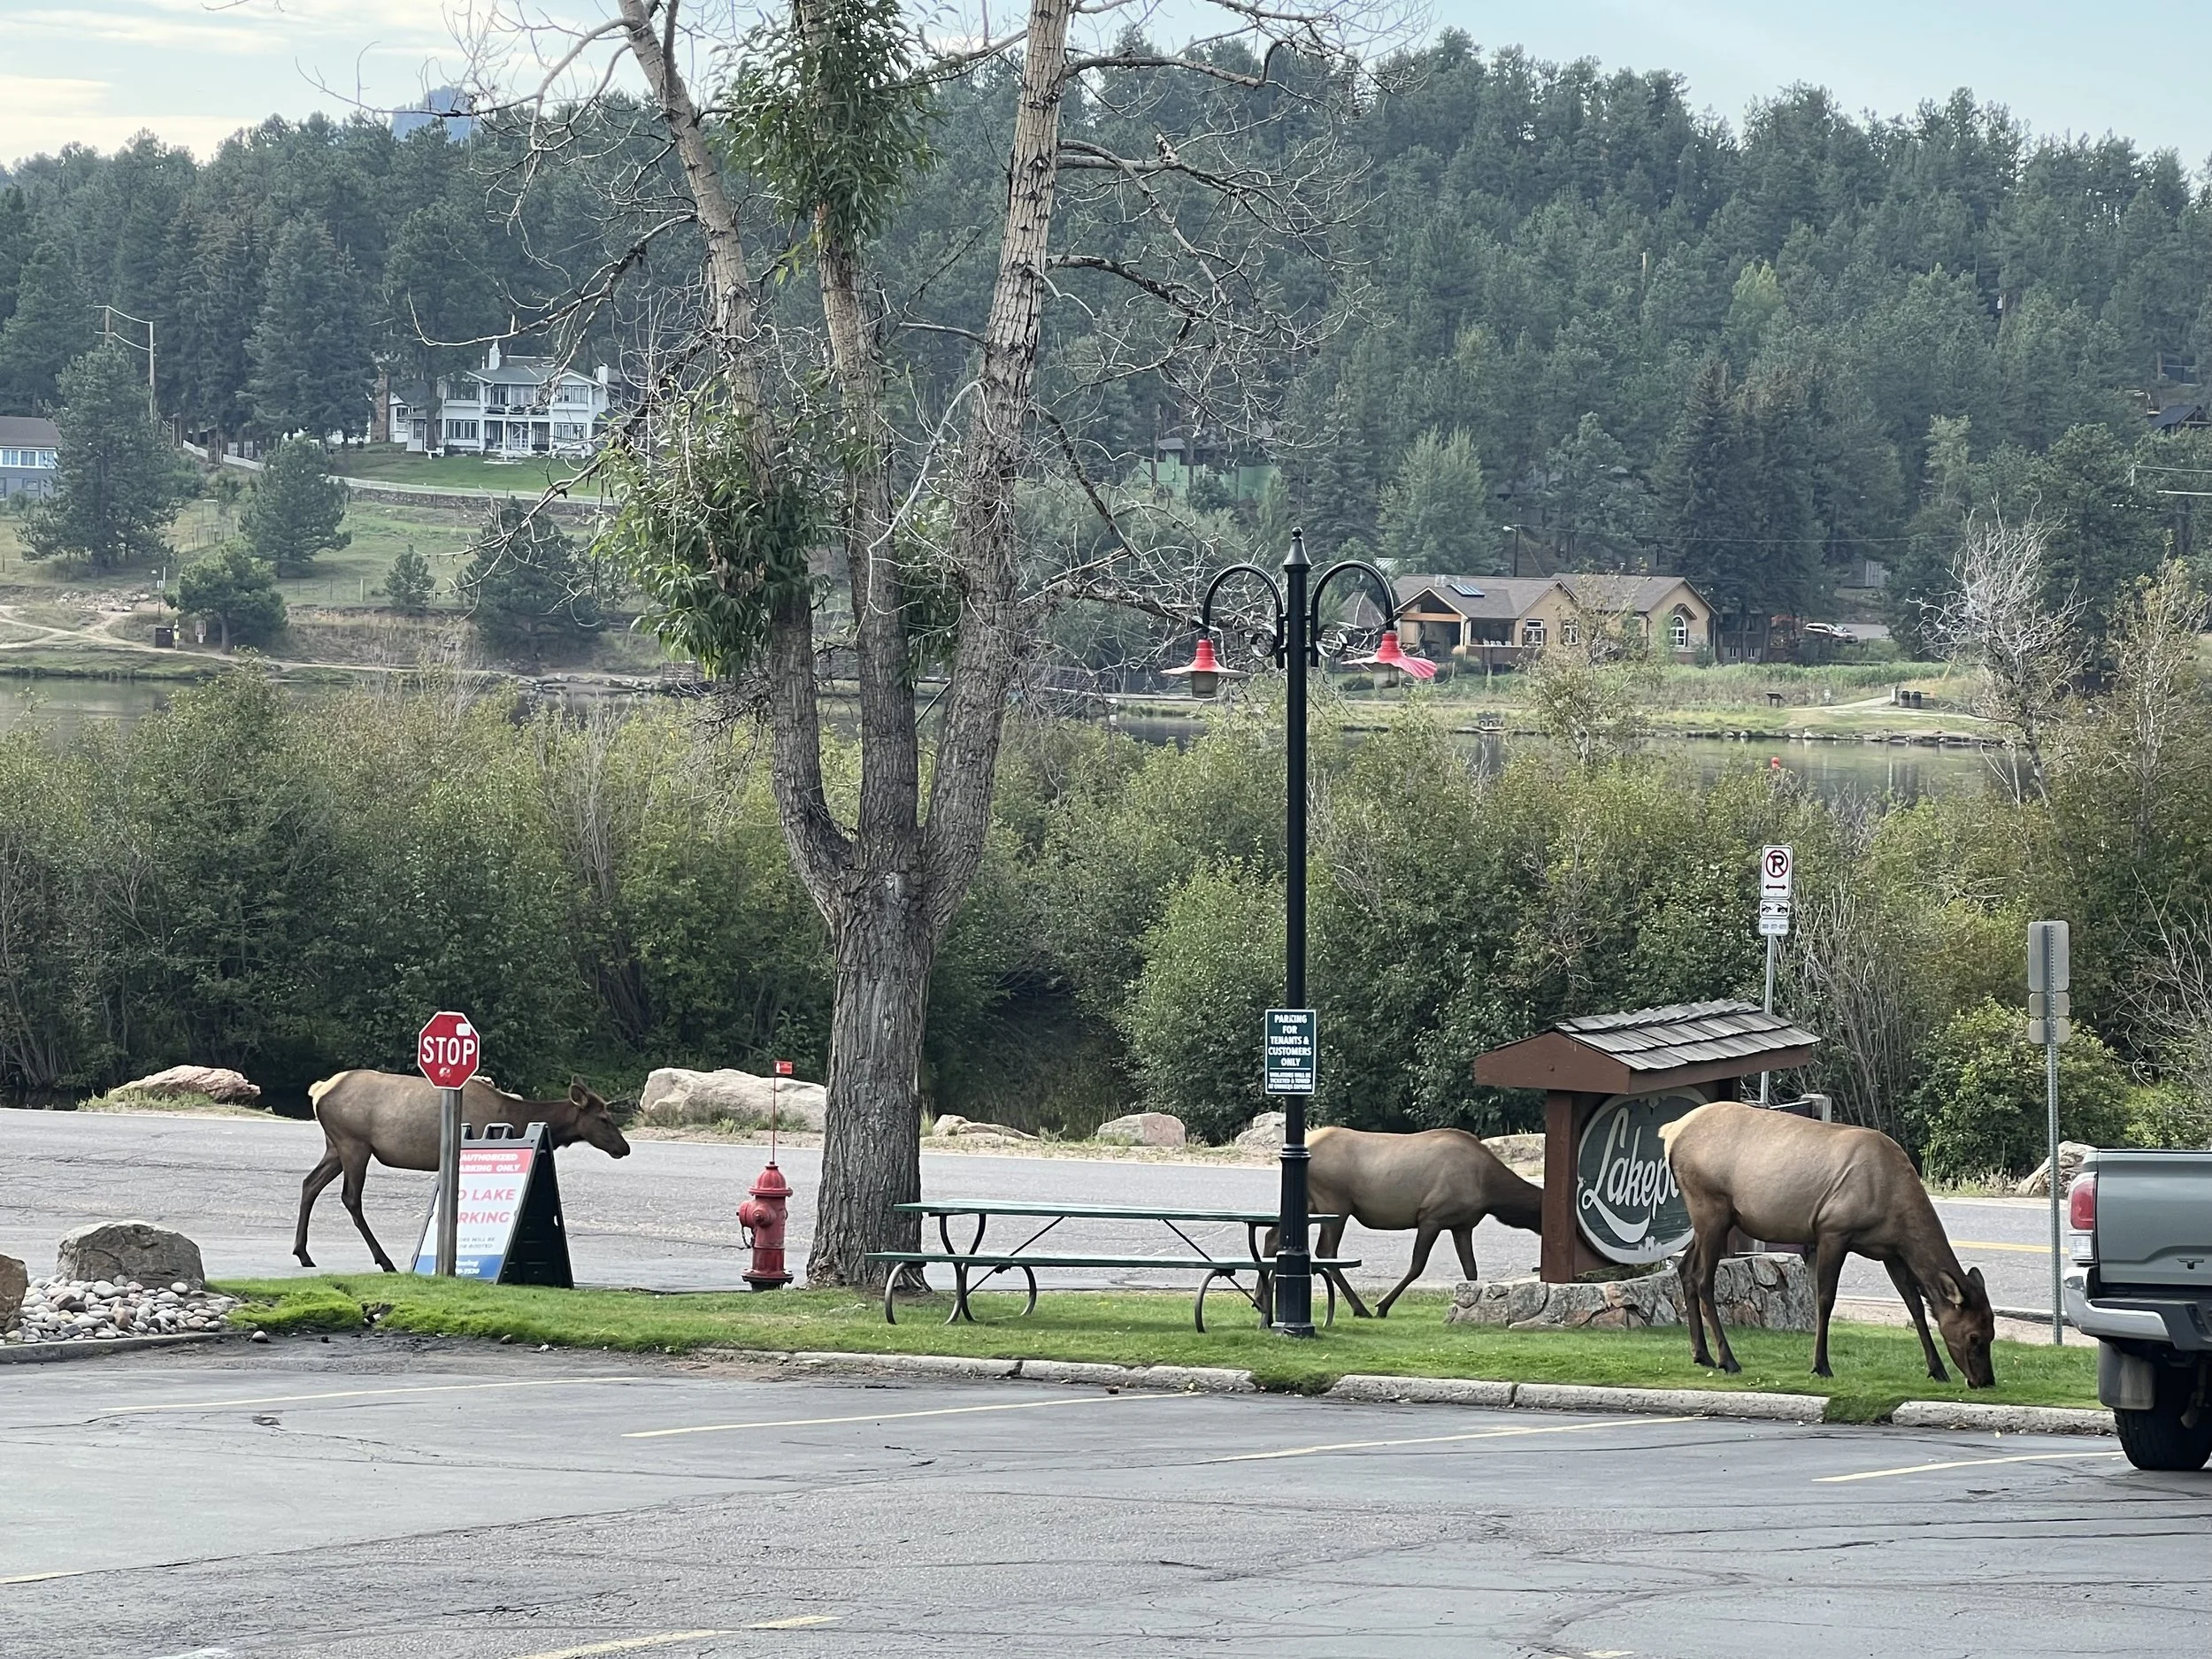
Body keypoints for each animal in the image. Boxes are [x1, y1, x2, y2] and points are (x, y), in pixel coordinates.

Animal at [294, 1070, 631, 1272]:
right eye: (603, 1119)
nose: (624, 1148)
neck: (516, 1115)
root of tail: (318, 1090)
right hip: (354, 1144)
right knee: (350, 1198)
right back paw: (384, 1260)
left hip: (335, 1147)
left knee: (310, 1183)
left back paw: (304, 1253)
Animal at [1267, 1126, 1544, 1318]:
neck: (1489, 1191)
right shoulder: (1431, 1216)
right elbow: (1417, 1266)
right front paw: (1382, 1306)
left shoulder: (1462, 1225)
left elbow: (1471, 1270)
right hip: (1335, 1205)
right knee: (1326, 1252)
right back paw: (1361, 1308)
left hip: (1309, 1204)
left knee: (1272, 1237)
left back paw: (1263, 1302)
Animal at [1660, 1100, 1995, 1387]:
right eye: (1974, 1336)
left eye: (1992, 1332)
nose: (1986, 1381)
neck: (1896, 1209)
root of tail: (1670, 1132)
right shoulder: (1833, 1231)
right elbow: (1824, 1298)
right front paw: (1821, 1365)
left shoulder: (1890, 1251)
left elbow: (1914, 1305)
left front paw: (1937, 1369)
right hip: (1710, 1206)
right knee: (1703, 1279)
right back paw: (1728, 1360)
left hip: (1711, 1218)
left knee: (1685, 1269)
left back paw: (1701, 1354)